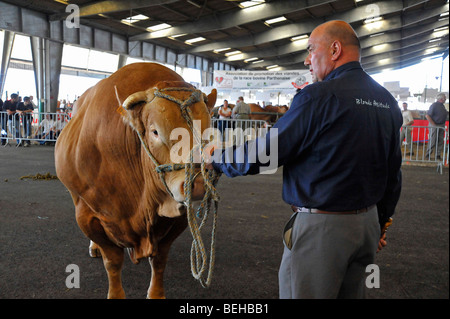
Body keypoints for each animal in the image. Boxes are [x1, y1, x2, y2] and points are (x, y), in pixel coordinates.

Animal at [55, 63, 217, 300]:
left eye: (209, 132)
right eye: (155, 132)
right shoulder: (88, 215)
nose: (197, 185)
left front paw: (156, 294)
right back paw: (94, 248)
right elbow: (113, 261)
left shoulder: (179, 218)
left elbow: (159, 259)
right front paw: (115, 294)